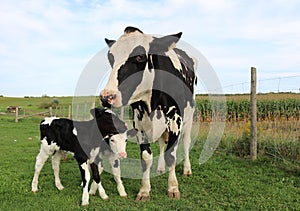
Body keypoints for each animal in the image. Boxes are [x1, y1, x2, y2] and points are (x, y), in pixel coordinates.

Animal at [99, 26, 196, 201]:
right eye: (111, 57)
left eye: (139, 56)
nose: (106, 96)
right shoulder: (139, 124)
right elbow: (146, 158)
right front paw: (144, 190)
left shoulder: (175, 120)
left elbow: (172, 155)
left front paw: (173, 188)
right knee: (162, 144)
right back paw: (160, 168)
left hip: (189, 118)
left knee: (185, 143)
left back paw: (187, 169)